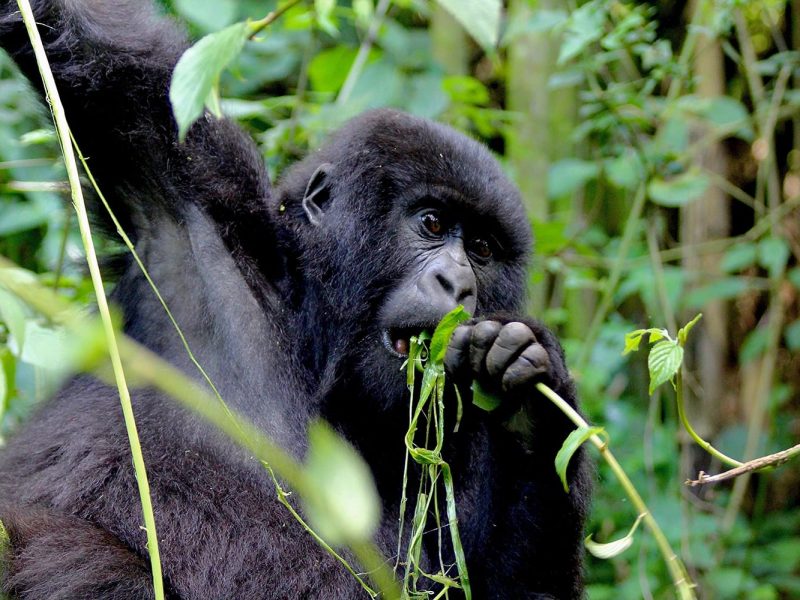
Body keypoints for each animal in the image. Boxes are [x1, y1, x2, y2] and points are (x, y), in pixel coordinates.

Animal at [0, 1, 588, 600]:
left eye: (482, 249)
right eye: (431, 224)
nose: (460, 285)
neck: (310, 340)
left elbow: (494, 585)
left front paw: (528, 397)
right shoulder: (192, 211)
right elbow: (92, 45)